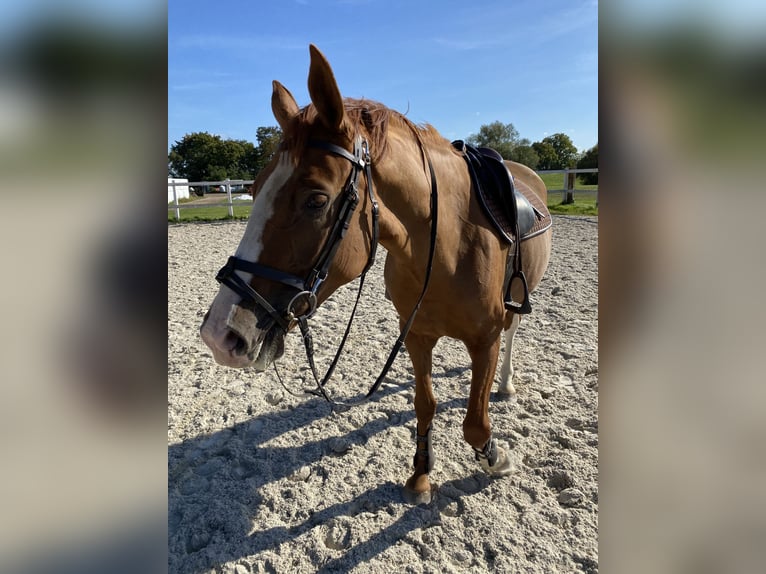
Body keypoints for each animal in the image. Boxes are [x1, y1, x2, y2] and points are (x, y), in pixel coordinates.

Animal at [201, 46, 556, 504]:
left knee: (513, 333)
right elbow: (426, 403)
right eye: (256, 187)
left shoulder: (485, 340)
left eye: (316, 200)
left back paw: (507, 385)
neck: (447, 244)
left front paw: (496, 459)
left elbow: (475, 422)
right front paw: (421, 474)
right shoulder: (416, 334)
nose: (219, 334)